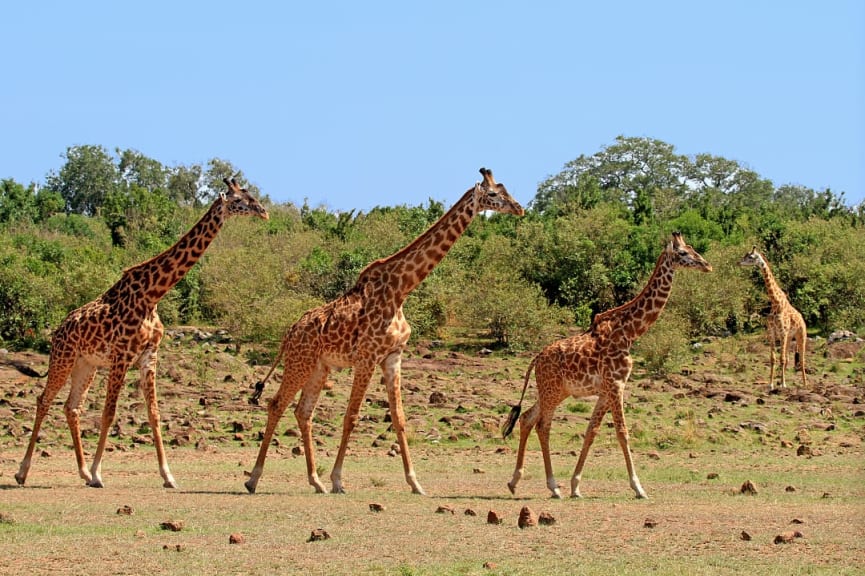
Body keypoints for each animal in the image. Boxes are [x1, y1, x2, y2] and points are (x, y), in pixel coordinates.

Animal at [14, 179, 270, 486]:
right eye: (241, 199)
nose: (264, 212)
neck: (153, 294)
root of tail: (59, 330)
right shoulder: (122, 356)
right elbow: (109, 413)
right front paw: (99, 474)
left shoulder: (149, 356)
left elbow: (154, 414)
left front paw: (168, 476)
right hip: (63, 358)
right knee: (44, 400)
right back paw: (23, 472)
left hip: (86, 365)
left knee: (71, 407)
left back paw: (83, 471)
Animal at [246, 168, 524, 496]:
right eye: (493, 194)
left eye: (506, 190)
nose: (519, 208)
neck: (401, 290)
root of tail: (289, 332)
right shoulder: (367, 357)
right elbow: (351, 417)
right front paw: (338, 479)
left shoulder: (393, 356)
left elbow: (400, 418)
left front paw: (415, 483)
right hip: (299, 362)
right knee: (276, 404)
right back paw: (253, 478)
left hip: (318, 367)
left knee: (303, 412)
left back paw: (315, 481)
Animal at [502, 233, 712, 500]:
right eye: (683, 253)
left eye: (693, 249)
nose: (707, 265)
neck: (631, 333)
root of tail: (536, 358)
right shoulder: (616, 385)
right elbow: (622, 432)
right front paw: (638, 488)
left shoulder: (604, 391)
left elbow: (591, 432)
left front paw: (576, 486)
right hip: (552, 390)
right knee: (543, 425)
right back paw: (553, 486)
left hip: (555, 391)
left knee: (527, 418)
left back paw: (514, 482)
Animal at [740, 245, 808, 390]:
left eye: (751, 257)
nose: (739, 262)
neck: (776, 302)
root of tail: (802, 318)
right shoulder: (772, 332)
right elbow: (773, 359)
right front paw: (771, 384)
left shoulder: (782, 333)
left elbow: (781, 359)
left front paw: (783, 384)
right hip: (789, 337)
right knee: (788, 358)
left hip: (800, 334)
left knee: (802, 359)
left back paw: (805, 384)